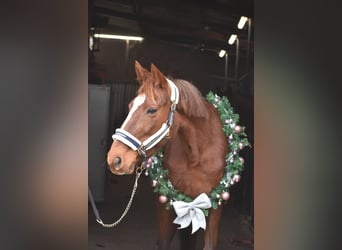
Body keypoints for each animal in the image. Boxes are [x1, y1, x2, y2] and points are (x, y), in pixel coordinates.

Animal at [108, 61, 228, 250]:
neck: (197, 155)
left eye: (151, 110)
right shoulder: (168, 202)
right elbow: (164, 241)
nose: (115, 159)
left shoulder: (216, 205)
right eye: (130, 106)